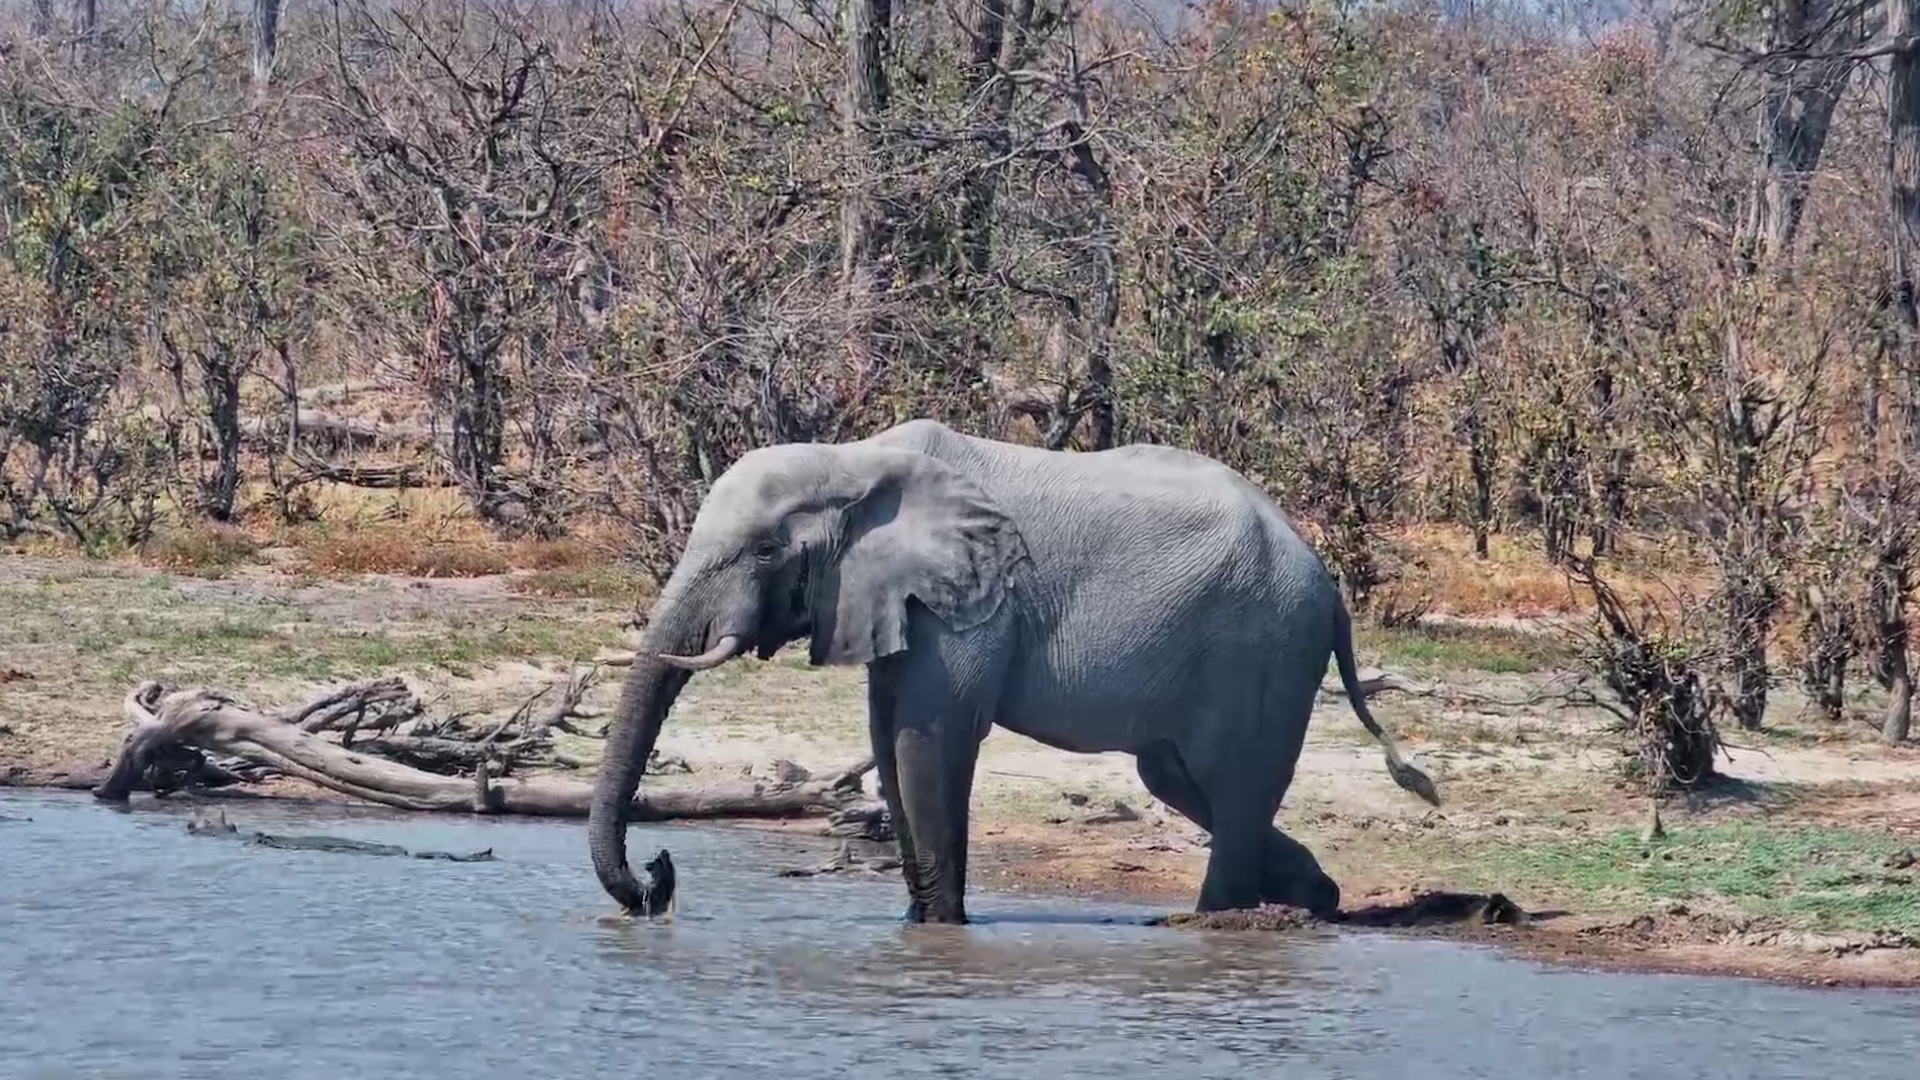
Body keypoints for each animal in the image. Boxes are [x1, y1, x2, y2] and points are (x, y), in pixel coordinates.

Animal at [587, 419, 1440, 925]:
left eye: (766, 551)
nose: (658, 879)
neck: (855, 460)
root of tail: (1328, 582)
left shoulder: (972, 604)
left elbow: (928, 742)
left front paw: (942, 933)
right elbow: (889, 741)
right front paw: (919, 929)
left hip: (1263, 645)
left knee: (1230, 786)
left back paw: (1208, 923)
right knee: (1186, 781)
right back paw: (1314, 901)